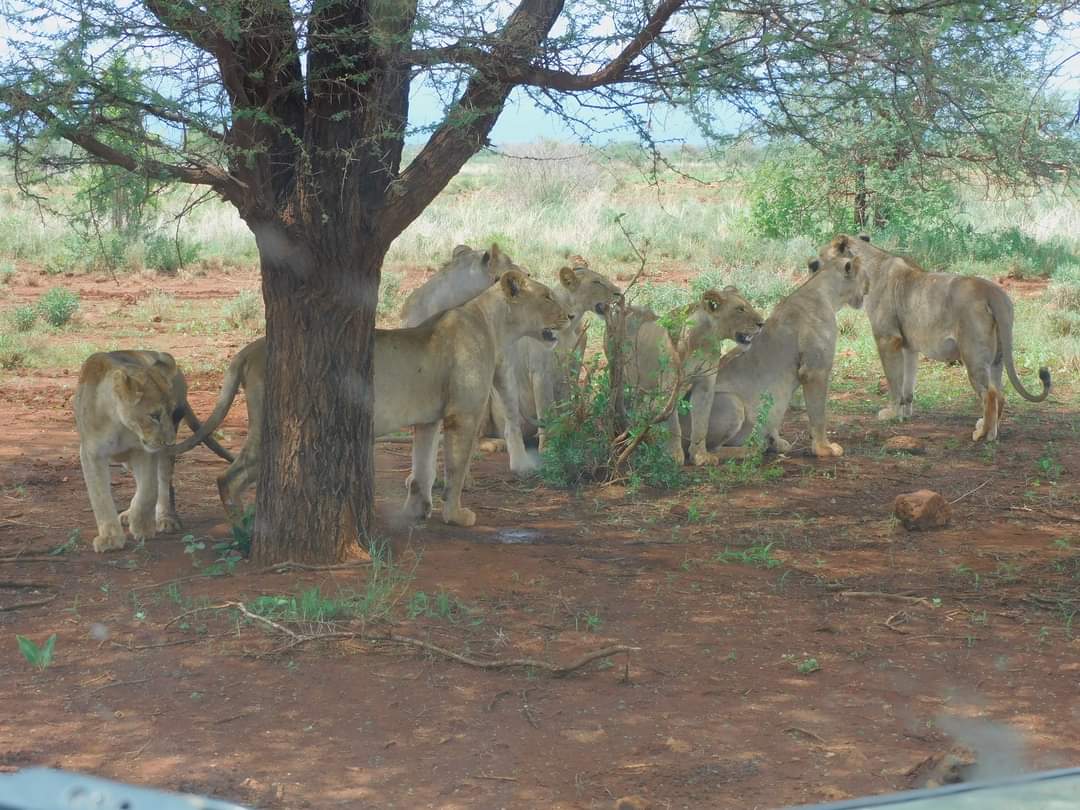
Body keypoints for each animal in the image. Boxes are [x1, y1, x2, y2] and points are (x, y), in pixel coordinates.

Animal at [74, 350, 234, 553]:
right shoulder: (91, 453)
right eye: (154, 416)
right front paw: (110, 538)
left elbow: (149, 491)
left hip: (162, 457)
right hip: (129, 459)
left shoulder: (144, 451)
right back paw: (129, 513)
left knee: (163, 483)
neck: (120, 424)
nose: (170, 441)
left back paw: (165, 519)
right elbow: (100, 497)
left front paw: (142, 526)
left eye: (172, 412)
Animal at [171, 270, 569, 527]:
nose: (569, 315)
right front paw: (456, 516)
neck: (493, 325)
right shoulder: (463, 415)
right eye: (547, 295)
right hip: (274, 423)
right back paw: (243, 525)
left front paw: (417, 510)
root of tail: (248, 349)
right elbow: (455, 469)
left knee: (233, 477)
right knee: (228, 478)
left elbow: (422, 468)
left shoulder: (428, 420)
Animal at [605, 287, 765, 466]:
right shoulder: (671, 386)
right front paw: (674, 456)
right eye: (740, 309)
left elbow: (702, 422)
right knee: (618, 399)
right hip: (617, 369)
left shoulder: (705, 384)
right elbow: (673, 425)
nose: (762, 323)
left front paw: (700, 456)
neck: (704, 339)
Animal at [686, 255, 869, 458]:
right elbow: (818, 414)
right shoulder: (815, 371)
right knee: (711, 449)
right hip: (732, 403)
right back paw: (750, 449)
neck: (826, 293)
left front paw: (779, 441)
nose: (868, 288)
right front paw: (824, 448)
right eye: (865, 276)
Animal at [813, 234, 1051, 441]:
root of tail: (994, 292)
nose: (811, 264)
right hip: (997, 359)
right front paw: (904, 414)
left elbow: (893, 381)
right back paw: (987, 428)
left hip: (973, 355)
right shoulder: (908, 346)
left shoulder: (888, 339)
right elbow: (907, 383)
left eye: (820, 256)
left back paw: (983, 435)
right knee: (999, 394)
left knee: (991, 395)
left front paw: (890, 413)